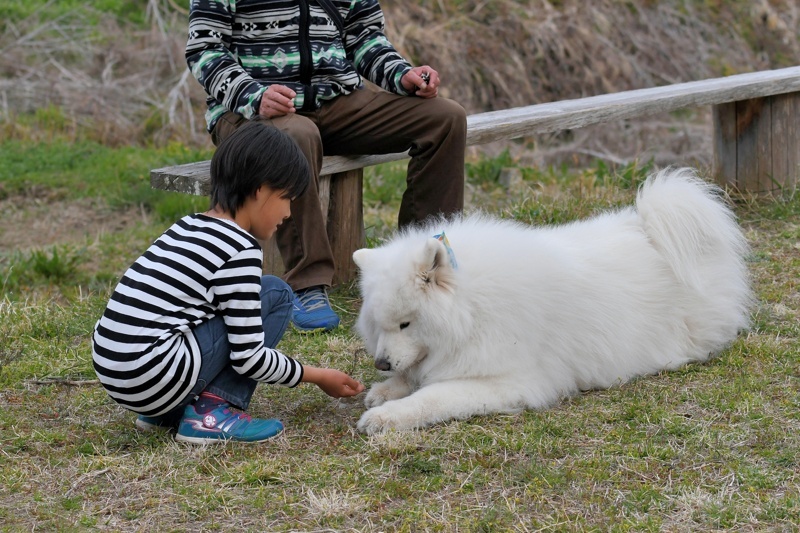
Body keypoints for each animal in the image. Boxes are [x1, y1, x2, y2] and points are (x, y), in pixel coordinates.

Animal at [354, 168, 752, 434]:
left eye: (406, 323)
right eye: (380, 326)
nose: (381, 363)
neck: (472, 307)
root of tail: (649, 231)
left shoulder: (510, 381)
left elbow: (432, 396)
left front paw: (386, 416)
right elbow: (413, 377)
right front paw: (385, 390)